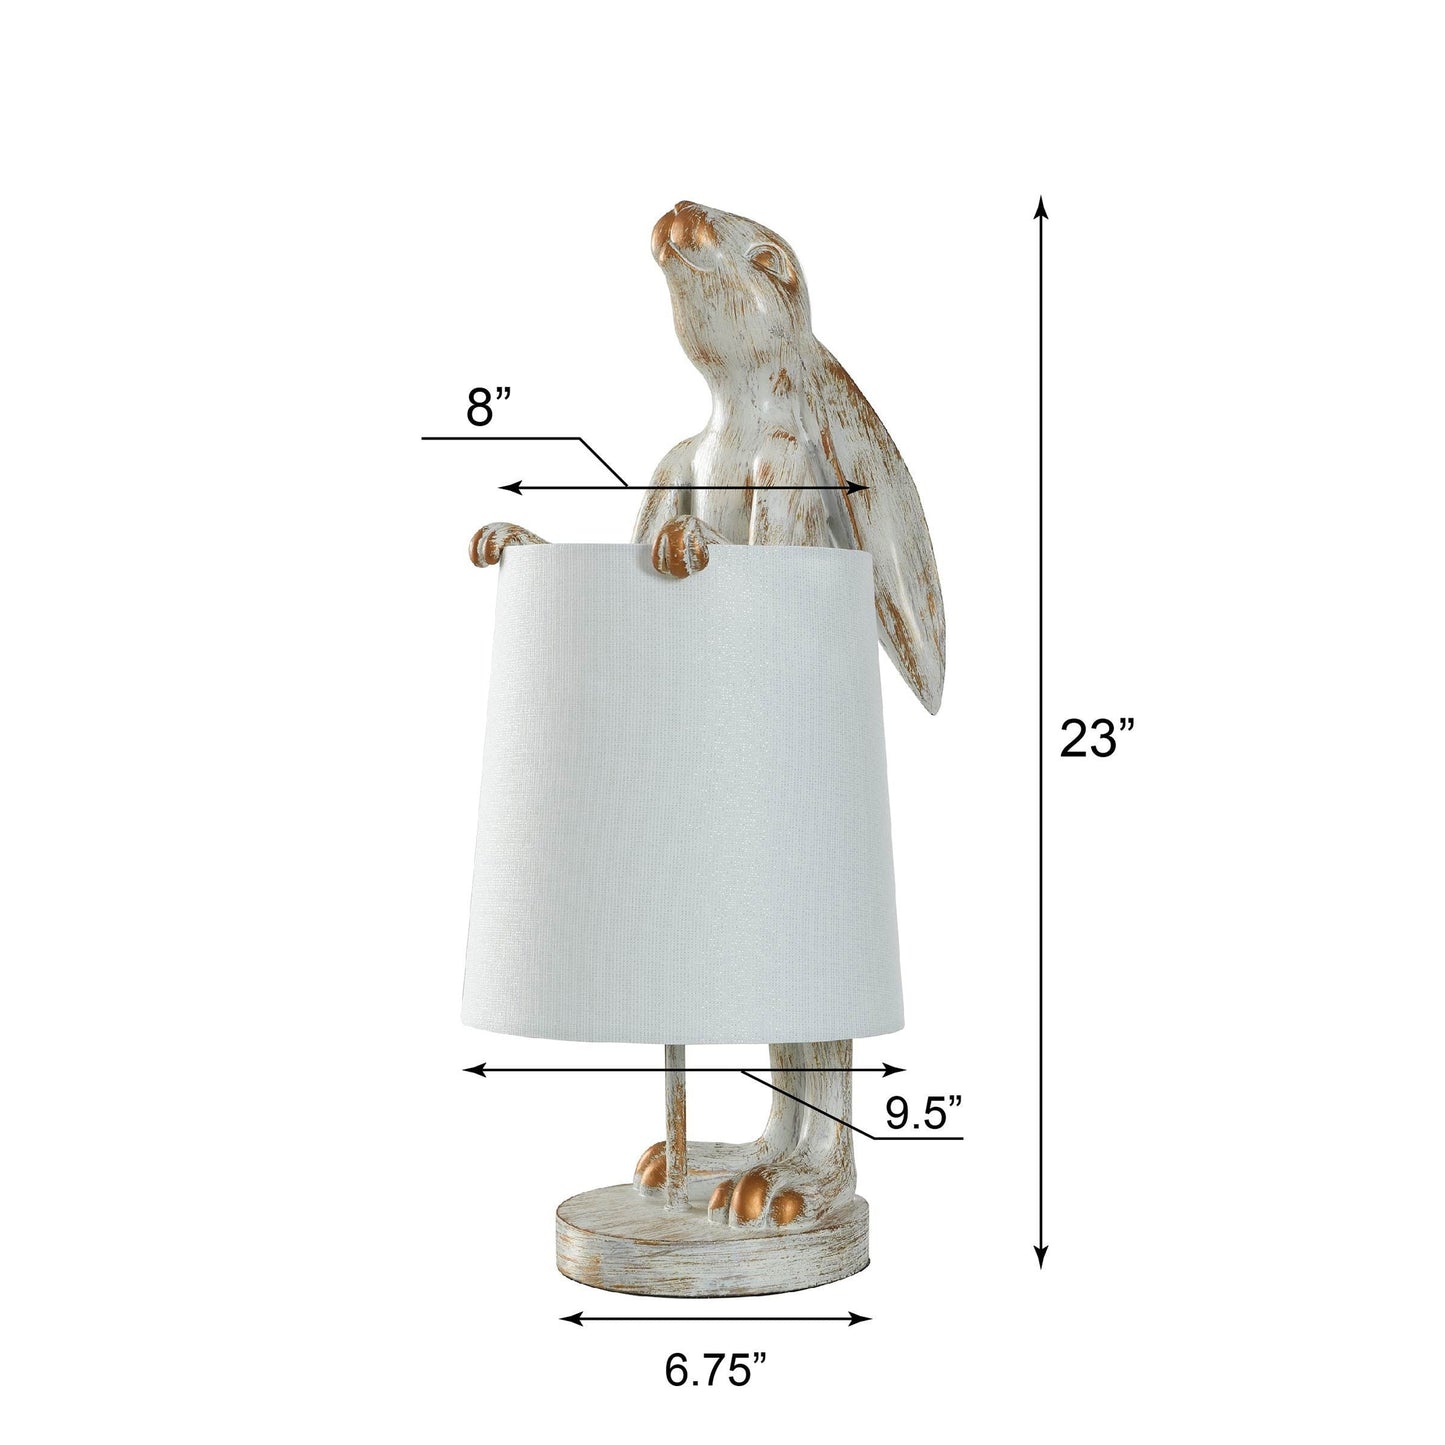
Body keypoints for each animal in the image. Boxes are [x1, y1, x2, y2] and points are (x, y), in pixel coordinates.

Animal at [472, 201, 945, 1230]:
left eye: (769, 259)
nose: (679, 213)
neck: (733, 420)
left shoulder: (792, 476)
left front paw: (685, 547)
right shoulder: (667, 463)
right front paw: (507, 536)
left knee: (821, 1045)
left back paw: (789, 1189)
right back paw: (722, 1168)